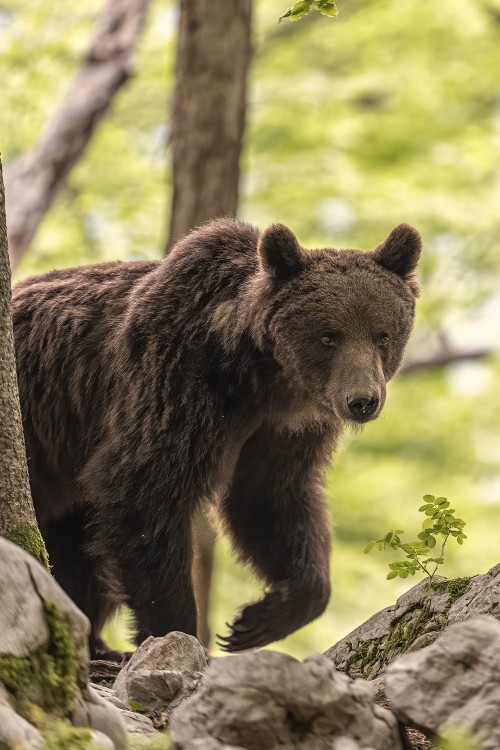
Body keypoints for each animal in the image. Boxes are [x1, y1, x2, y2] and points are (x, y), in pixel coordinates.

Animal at [11, 217, 420, 656]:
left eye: (382, 335)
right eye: (328, 336)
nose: (362, 401)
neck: (259, 376)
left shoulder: (281, 429)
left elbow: (268, 496)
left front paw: (258, 619)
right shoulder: (178, 380)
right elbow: (146, 490)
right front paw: (177, 633)